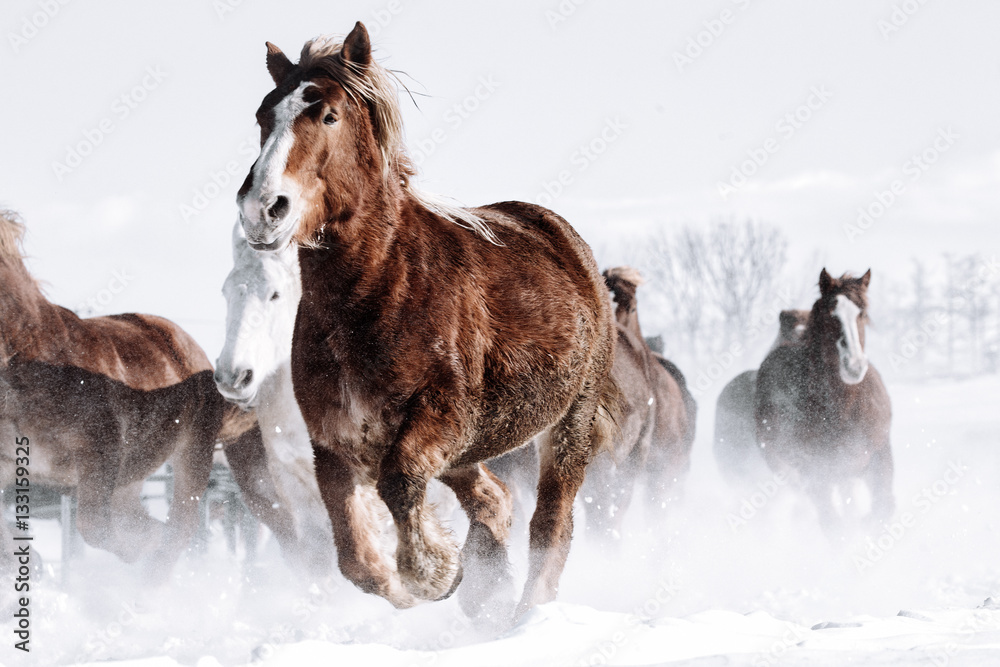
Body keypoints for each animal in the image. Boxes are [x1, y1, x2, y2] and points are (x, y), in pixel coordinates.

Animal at [0, 210, 297, 586]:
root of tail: (200, 359)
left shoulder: (101, 453)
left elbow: (95, 528)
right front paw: (31, 565)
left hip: (190, 453)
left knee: (181, 526)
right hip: (132, 476)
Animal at [235, 23, 623, 622]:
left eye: (328, 115)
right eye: (263, 115)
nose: (262, 208)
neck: (371, 299)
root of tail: (562, 236)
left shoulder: (440, 418)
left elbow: (397, 486)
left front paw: (435, 573)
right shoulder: (334, 444)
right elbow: (355, 559)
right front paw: (434, 576)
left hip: (568, 424)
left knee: (549, 524)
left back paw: (523, 616)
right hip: (466, 452)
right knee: (493, 499)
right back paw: (489, 590)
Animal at [754, 270, 894, 530]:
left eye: (862, 313)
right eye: (831, 314)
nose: (854, 366)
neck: (844, 409)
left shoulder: (880, 456)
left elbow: (883, 509)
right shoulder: (817, 474)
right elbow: (834, 526)